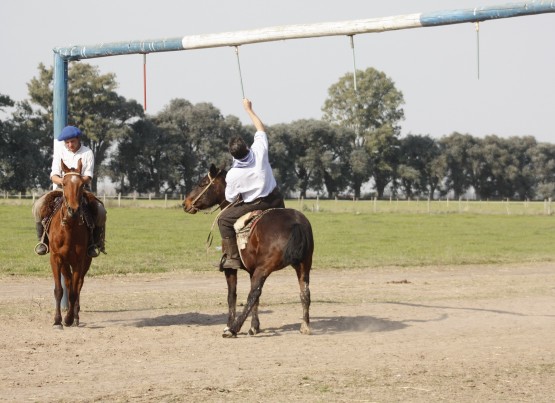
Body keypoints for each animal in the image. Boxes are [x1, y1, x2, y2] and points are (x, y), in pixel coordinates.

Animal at [48, 159, 93, 330]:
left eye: (81, 184)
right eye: (64, 183)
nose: (73, 210)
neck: (69, 229)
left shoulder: (79, 261)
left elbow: (74, 292)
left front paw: (68, 318)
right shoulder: (56, 259)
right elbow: (59, 290)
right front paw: (57, 320)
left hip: (85, 261)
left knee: (78, 285)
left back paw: (76, 316)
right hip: (65, 263)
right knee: (67, 282)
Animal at [185, 164, 314, 338]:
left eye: (202, 183)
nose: (185, 203)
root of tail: (296, 223)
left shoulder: (231, 269)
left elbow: (232, 296)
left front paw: (229, 325)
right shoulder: (252, 269)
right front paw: (255, 326)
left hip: (265, 268)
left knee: (253, 294)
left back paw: (233, 329)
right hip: (303, 265)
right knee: (305, 293)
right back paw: (305, 326)